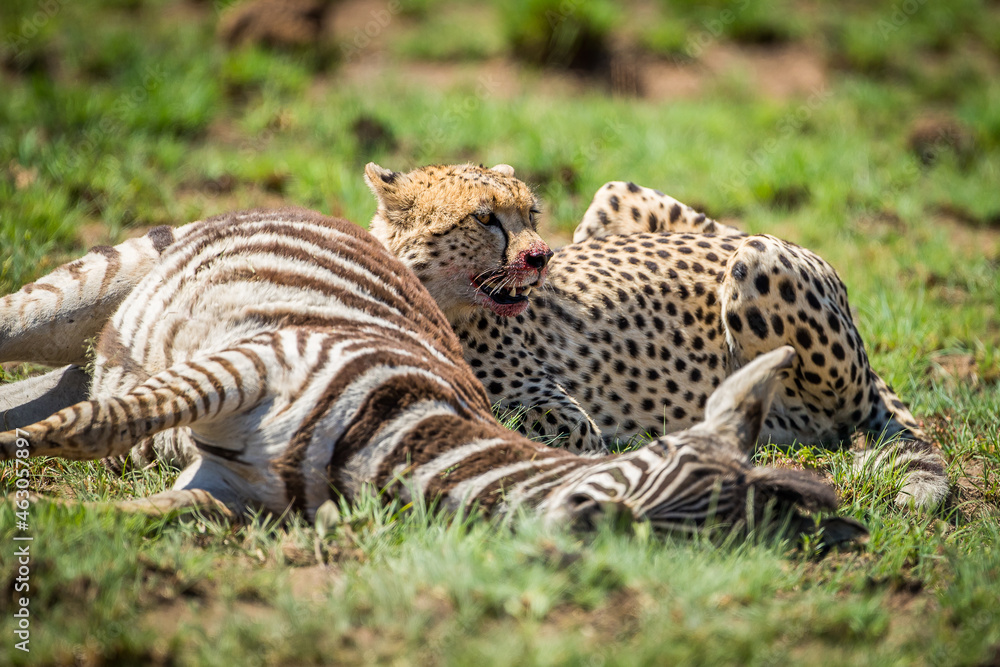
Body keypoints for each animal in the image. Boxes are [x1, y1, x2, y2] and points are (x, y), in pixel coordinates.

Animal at [0, 209, 861, 538]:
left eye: (688, 540)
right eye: (655, 459)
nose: (584, 523)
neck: (380, 436)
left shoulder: (227, 493)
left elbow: (122, 514)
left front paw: (60, 531)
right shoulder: (256, 357)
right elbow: (85, 428)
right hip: (80, 294)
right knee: (39, 349)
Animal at [364, 163, 948, 507]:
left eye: (530, 213)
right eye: (484, 218)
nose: (542, 257)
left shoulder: (568, 419)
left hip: (758, 258)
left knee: (843, 423)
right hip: (615, 196)